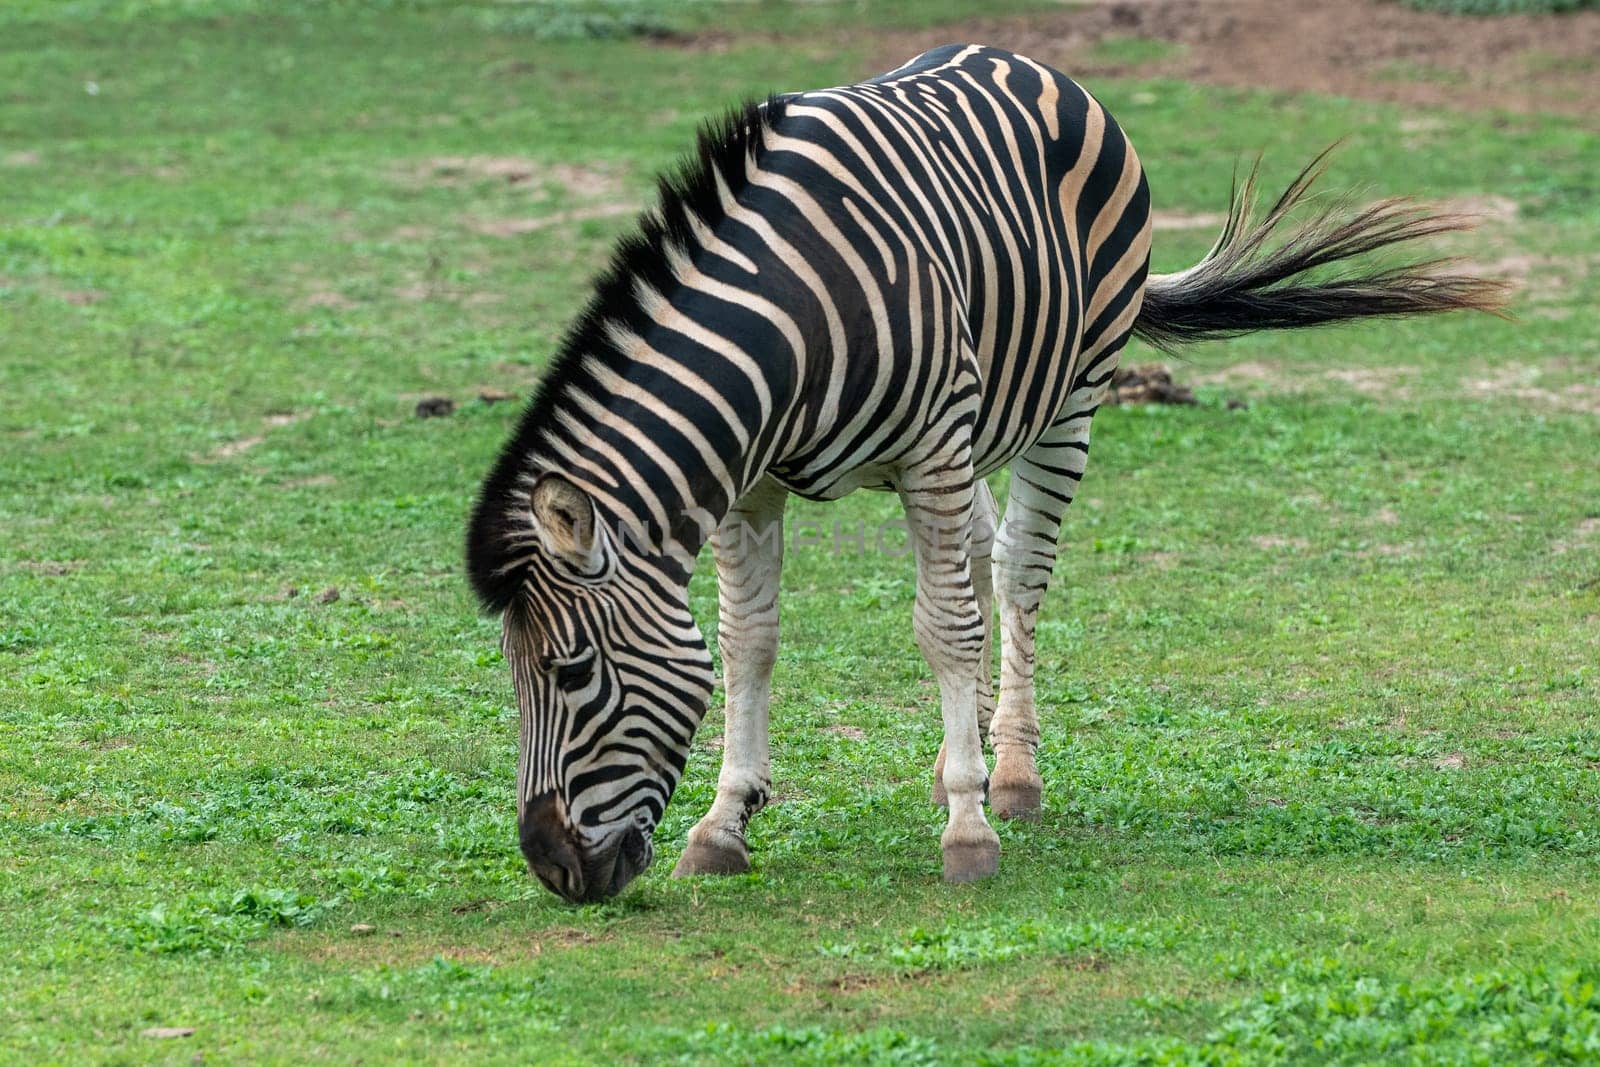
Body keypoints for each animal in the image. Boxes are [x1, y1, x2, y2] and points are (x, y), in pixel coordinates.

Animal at [460, 47, 1497, 902]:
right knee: (986, 554)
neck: (787, 324)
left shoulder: (927, 449)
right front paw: (724, 823)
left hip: (1067, 399)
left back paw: (1014, 773)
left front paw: (968, 828)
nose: (552, 868)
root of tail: (1031, 62)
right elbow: (749, 639)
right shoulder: (753, 483)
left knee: (1020, 573)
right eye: (517, 672)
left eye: (570, 670)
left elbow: (944, 629)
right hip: (971, 434)